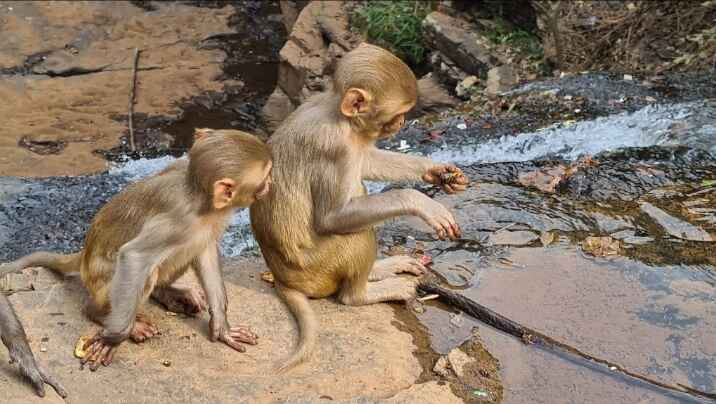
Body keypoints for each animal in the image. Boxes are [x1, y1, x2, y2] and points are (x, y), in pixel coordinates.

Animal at [1, 129, 270, 372]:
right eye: (264, 178)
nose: (271, 185)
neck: (202, 200)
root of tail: (84, 254)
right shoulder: (178, 220)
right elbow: (135, 257)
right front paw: (113, 338)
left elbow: (205, 252)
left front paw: (222, 326)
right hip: (101, 281)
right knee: (143, 272)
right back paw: (103, 314)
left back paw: (169, 294)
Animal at [250, 43, 470, 370]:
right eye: (397, 114)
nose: (402, 123)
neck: (338, 116)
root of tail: (282, 278)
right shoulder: (335, 148)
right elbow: (331, 218)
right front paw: (420, 201)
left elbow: (366, 160)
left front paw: (435, 171)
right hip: (318, 268)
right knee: (355, 234)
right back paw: (361, 294)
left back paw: (379, 270)